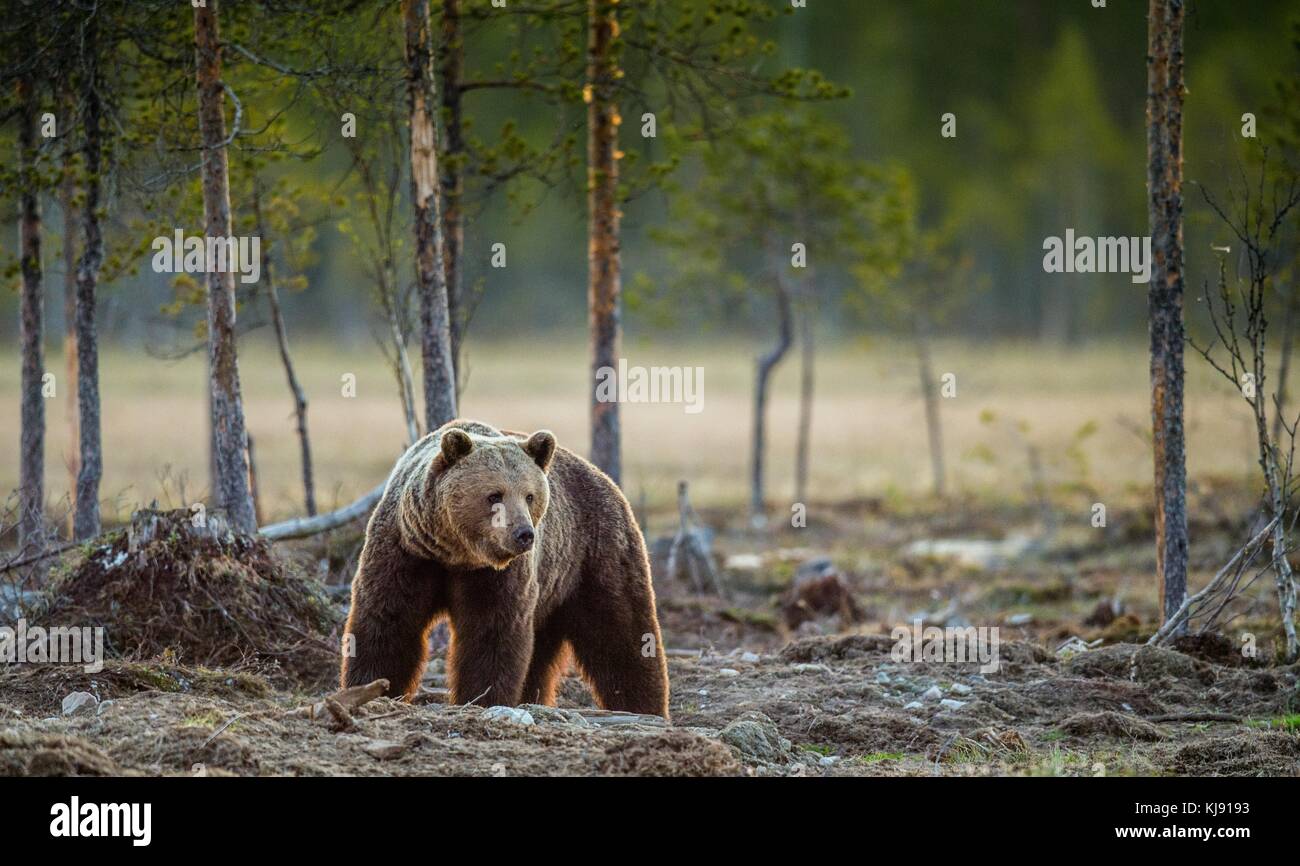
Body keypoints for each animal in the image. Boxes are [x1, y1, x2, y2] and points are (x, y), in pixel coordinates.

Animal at [340, 419, 670, 718]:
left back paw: (645, 707)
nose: (524, 534)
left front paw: (482, 697)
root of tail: (606, 480)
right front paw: (371, 687)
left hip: (593, 557)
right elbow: (389, 619)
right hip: (554, 586)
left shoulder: (498, 575)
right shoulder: (407, 552)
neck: (455, 555)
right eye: (494, 494)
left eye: (530, 495)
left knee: (622, 631)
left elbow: (493, 632)